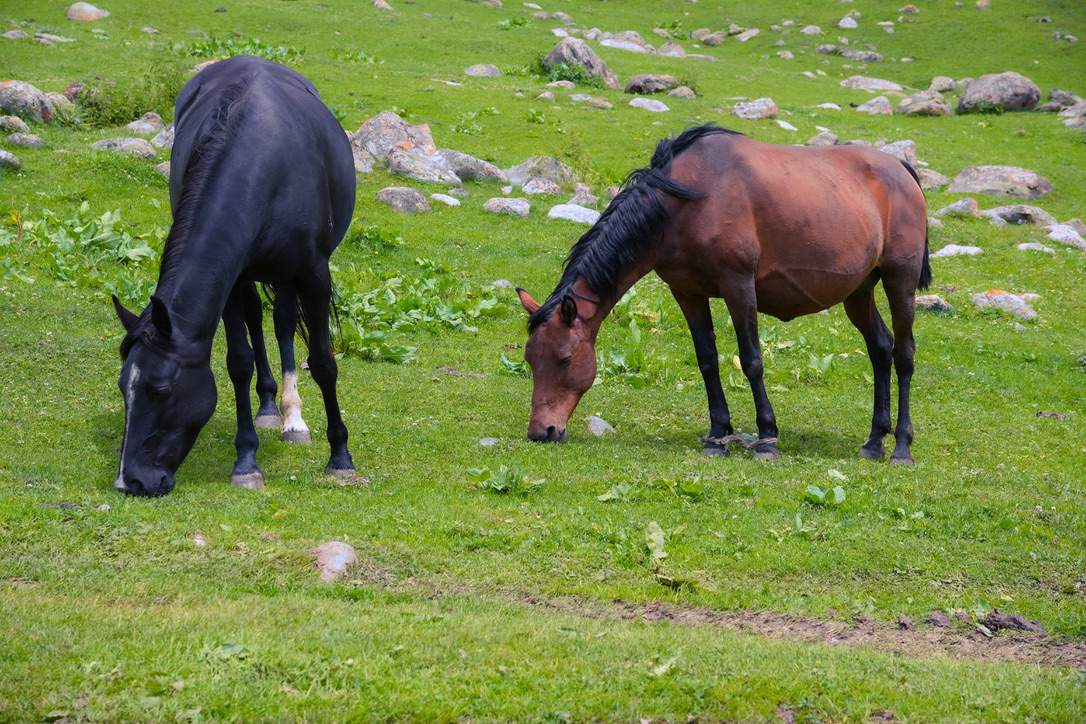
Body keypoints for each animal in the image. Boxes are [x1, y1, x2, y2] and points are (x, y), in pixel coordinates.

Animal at [113, 58, 356, 499]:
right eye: (124, 388)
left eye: (161, 389)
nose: (131, 481)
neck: (265, 164)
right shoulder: (231, 277)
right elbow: (238, 362)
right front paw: (246, 462)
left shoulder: (314, 274)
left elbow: (323, 361)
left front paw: (340, 458)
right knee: (259, 320)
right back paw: (269, 407)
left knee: (282, 323)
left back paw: (293, 418)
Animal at [514, 123, 925, 462]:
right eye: (531, 360)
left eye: (565, 359)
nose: (541, 431)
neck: (688, 201)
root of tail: (900, 168)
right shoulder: (687, 292)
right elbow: (707, 360)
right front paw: (717, 435)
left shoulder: (738, 285)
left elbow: (752, 360)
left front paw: (767, 438)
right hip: (858, 292)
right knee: (880, 348)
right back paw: (874, 441)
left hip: (899, 281)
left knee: (903, 354)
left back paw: (901, 446)